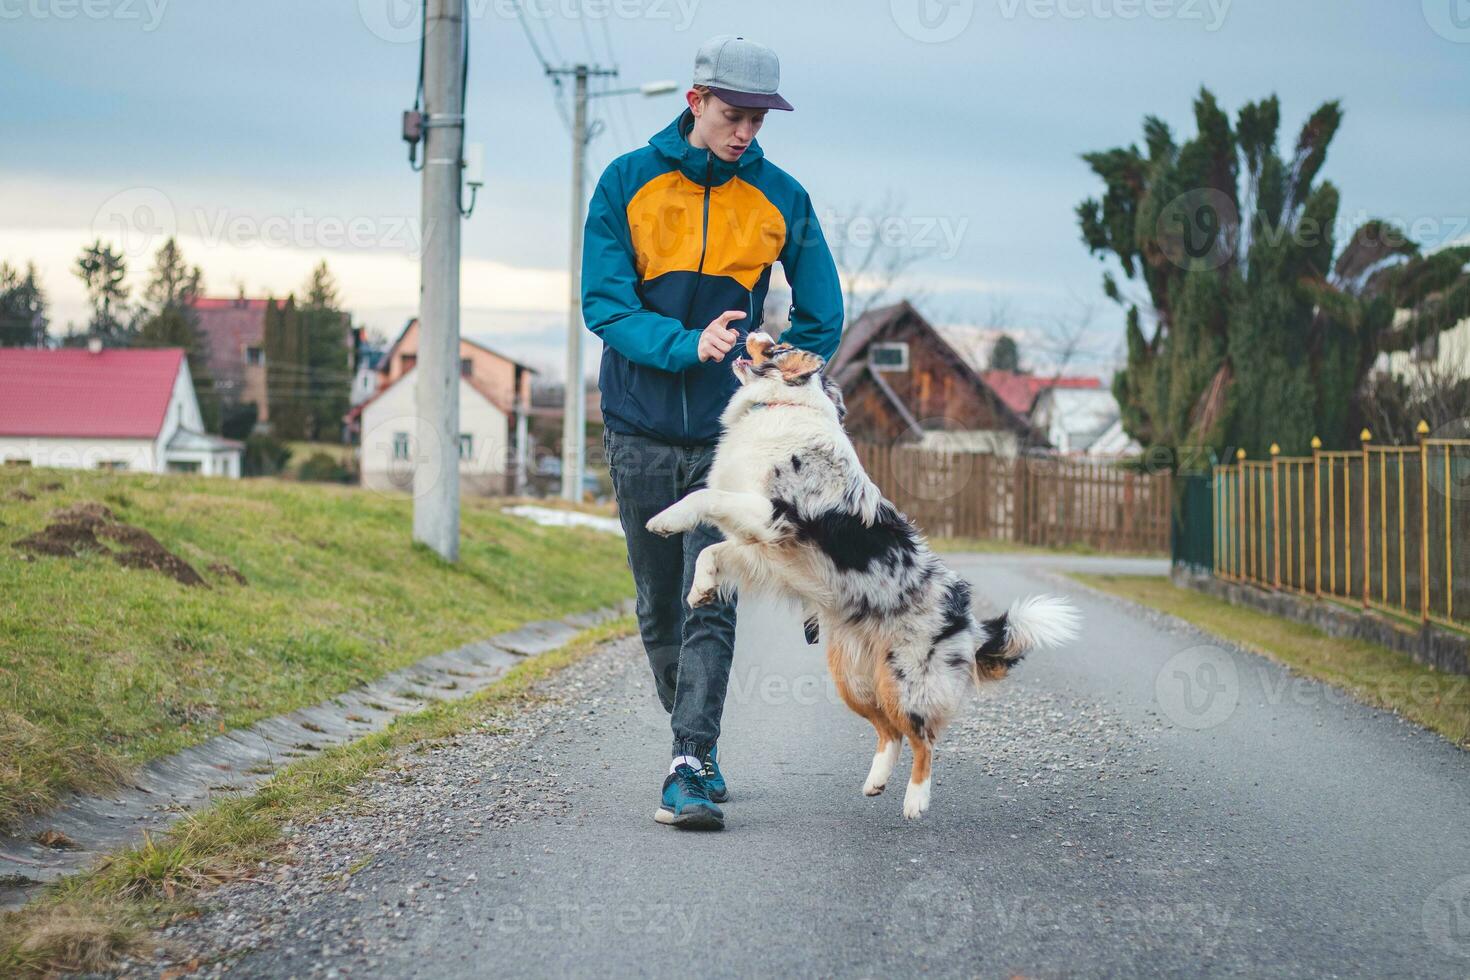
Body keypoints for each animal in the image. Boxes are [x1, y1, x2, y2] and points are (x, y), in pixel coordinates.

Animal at [646, 334, 1081, 822]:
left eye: (776, 346)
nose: (750, 332)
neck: (782, 405)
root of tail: (966, 619)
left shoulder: (774, 516)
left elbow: (705, 496)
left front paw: (665, 519)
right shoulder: (762, 547)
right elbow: (711, 550)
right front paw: (701, 587)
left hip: (909, 681)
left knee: (923, 738)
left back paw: (915, 800)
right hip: (854, 681)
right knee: (890, 731)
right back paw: (876, 781)